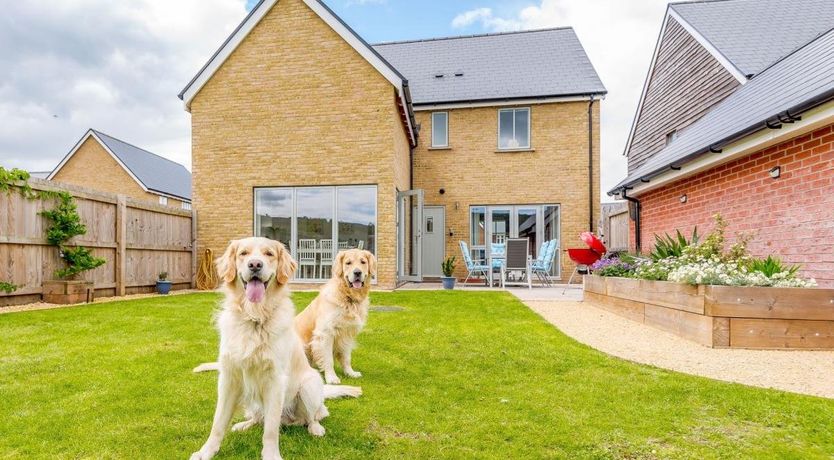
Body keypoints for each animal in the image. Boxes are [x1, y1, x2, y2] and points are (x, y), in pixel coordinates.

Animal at [190, 237, 360, 460]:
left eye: (269, 254)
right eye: (243, 253)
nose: (255, 264)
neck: (254, 318)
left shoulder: (275, 380)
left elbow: (270, 429)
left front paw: (271, 454)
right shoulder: (229, 378)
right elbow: (218, 422)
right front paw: (206, 451)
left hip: (310, 385)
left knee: (314, 415)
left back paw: (315, 428)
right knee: (259, 418)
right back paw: (244, 424)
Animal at [290, 248, 372, 384]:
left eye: (363, 262)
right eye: (348, 263)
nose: (357, 272)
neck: (347, 297)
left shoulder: (347, 334)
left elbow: (346, 357)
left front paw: (350, 373)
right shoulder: (325, 333)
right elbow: (328, 359)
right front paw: (331, 378)